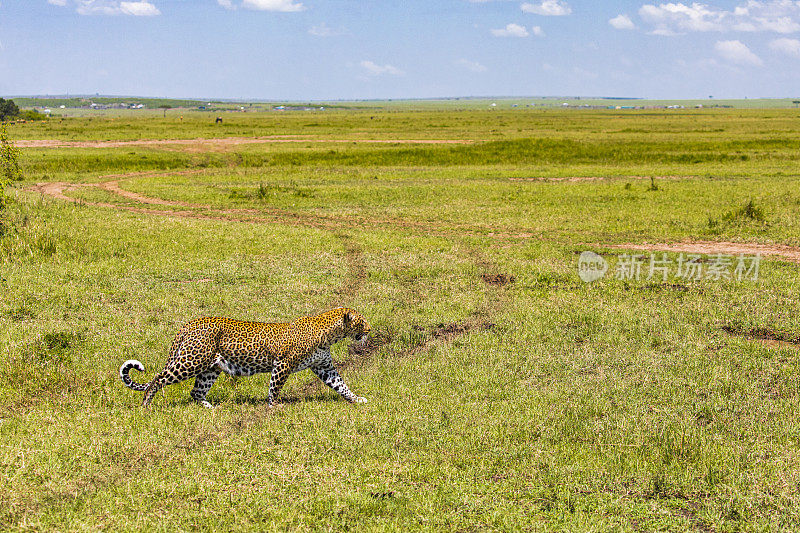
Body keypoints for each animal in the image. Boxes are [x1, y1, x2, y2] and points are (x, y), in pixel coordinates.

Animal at [119, 308, 372, 408]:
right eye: (362, 321)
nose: (370, 329)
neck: (329, 335)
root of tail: (188, 324)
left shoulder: (324, 367)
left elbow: (341, 385)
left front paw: (357, 399)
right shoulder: (282, 364)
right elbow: (274, 388)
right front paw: (274, 406)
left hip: (210, 369)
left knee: (196, 391)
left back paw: (210, 408)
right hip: (190, 361)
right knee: (158, 379)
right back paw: (146, 405)